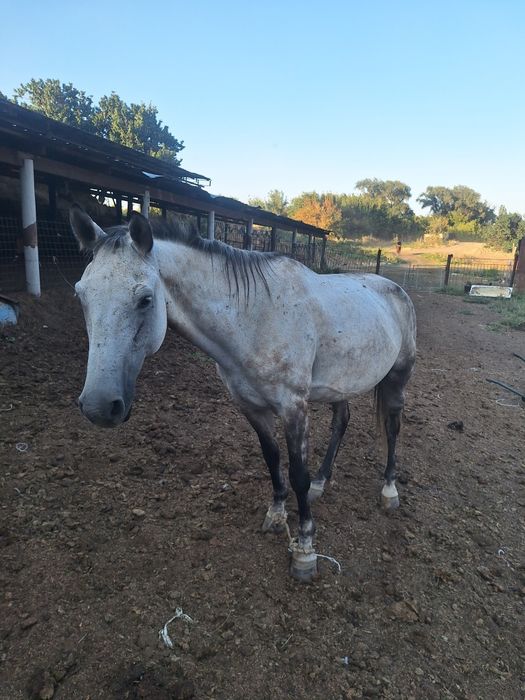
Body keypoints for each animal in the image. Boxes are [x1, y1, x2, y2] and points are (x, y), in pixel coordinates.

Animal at [69, 205, 416, 581]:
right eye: (81, 295)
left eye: (145, 299)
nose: (99, 406)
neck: (255, 317)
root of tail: (396, 289)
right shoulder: (251, 407)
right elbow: (272, 460)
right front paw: (277, 516)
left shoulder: (294, 407)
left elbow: (297, 474)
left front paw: (305, 549)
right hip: (342, 383)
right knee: (342, 421)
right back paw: (323, 482)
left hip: (398, 376)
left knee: (393, 428)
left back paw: (388, 490)